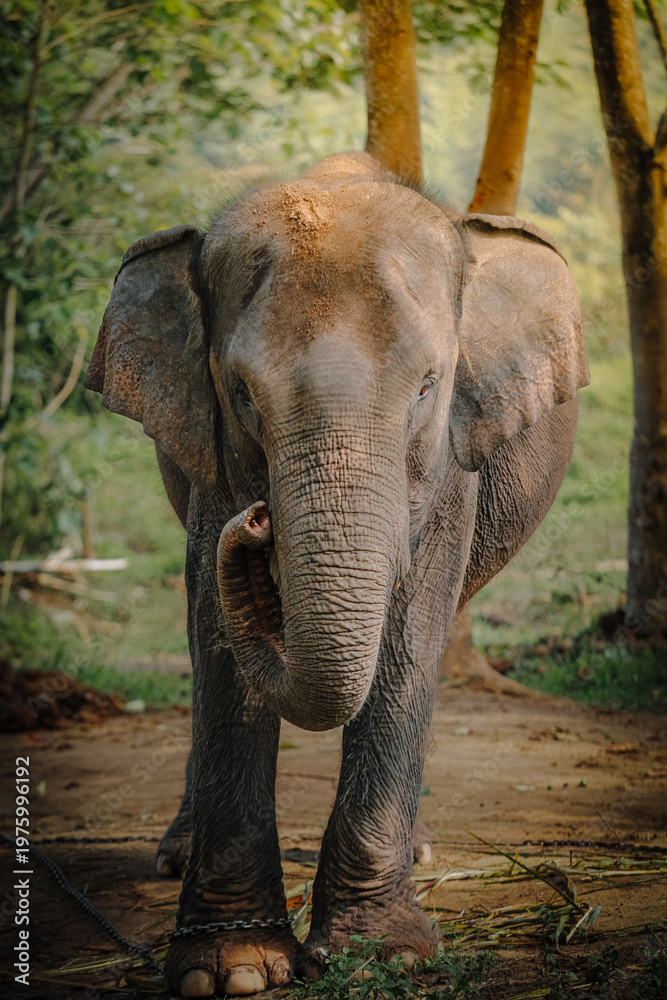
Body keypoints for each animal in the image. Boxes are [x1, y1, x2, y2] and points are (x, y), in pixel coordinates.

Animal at [84, 151, 588, 998]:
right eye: (240, 394)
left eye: (427, 385)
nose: (258, 522)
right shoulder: (209, 458)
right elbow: (216, 641)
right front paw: (235, 971)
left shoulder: (449, 467)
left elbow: (410, 633)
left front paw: (382, 956)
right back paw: (176, 857)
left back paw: (417, 852)